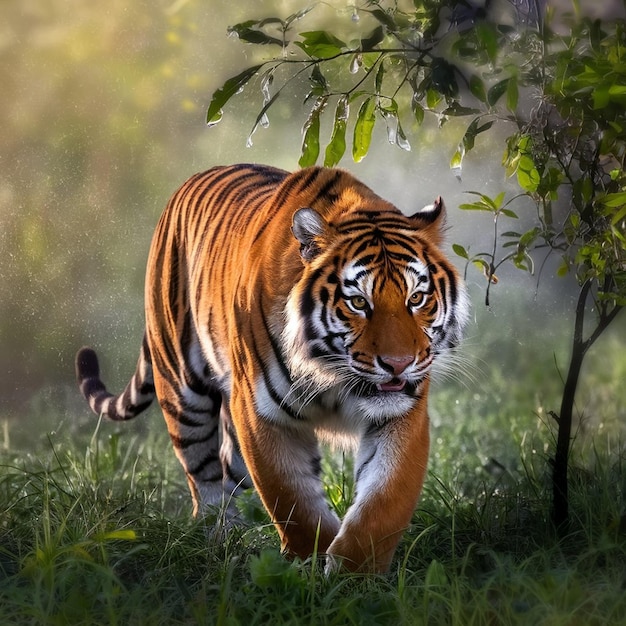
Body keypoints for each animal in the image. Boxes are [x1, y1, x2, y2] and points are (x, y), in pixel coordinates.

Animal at [75, 163, 466, 572]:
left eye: (416, 298)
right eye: (358, 302)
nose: (398, 364)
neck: (334, 375)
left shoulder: (400, 415)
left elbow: (383, 503)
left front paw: (354, 576)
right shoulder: (262, 414)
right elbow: (293, 501)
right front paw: (309, 568)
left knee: (229, 468)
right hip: (183, 390)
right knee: (204, 478)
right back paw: (219, 538)